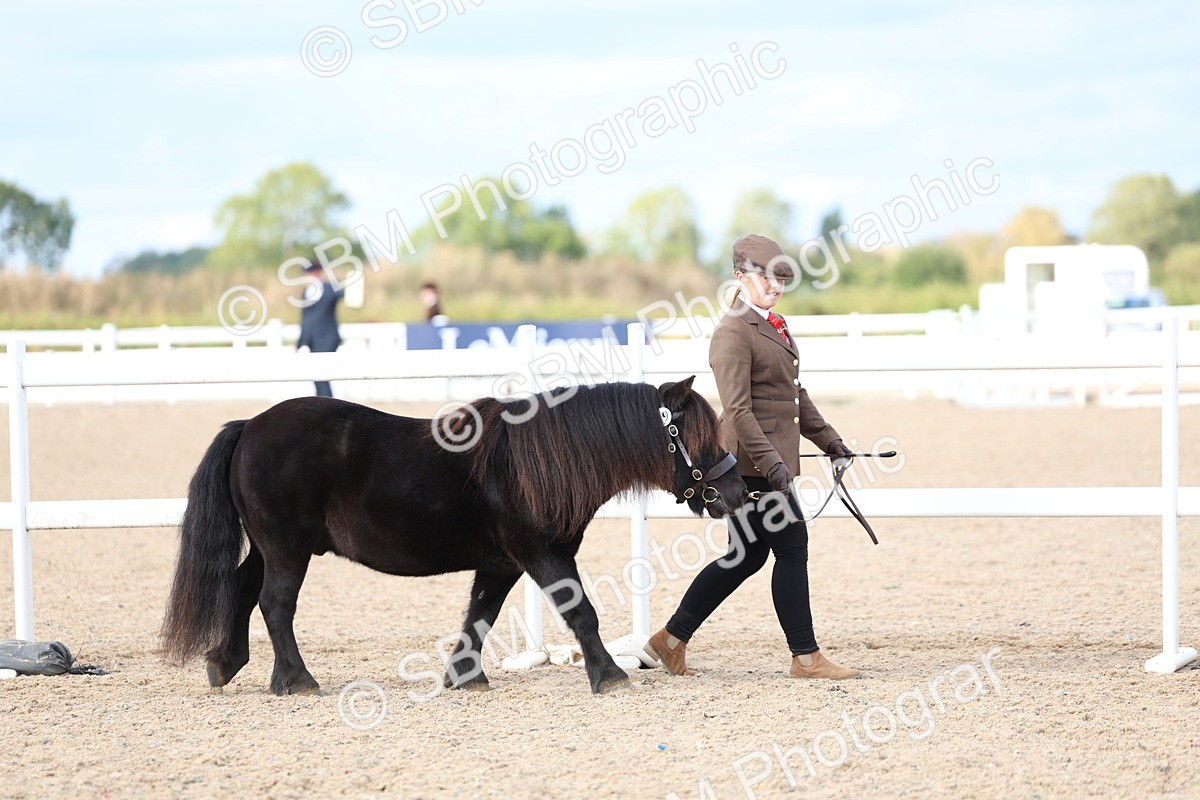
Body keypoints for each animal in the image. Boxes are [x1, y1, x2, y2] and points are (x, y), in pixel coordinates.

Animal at [160, 376, 749, 696]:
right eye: (698, 436)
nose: (739, 491)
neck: (539, 462)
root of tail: (249, 426)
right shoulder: (543, 554)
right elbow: (581, 612)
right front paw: (608, 675)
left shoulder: (502, 563)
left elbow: (480, 615)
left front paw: (466, 676)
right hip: (286, 549)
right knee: (276, 604)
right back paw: (296, 679)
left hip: (271, 547)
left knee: (242, 590)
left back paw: (225, 663)